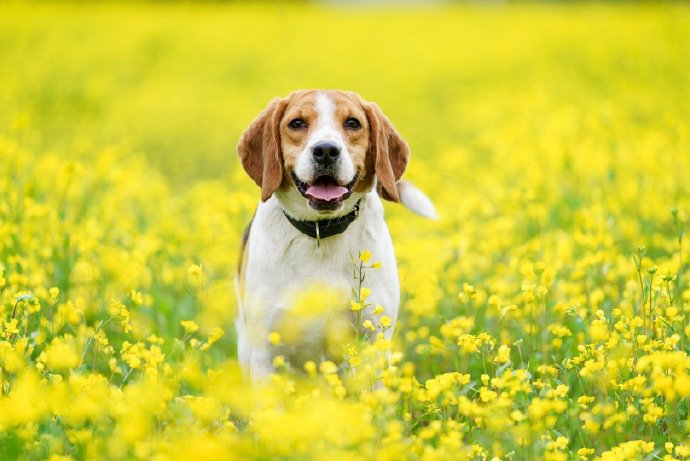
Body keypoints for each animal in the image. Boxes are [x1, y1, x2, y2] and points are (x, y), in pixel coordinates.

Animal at [234, 90, 432, 380]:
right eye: (296, 123)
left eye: (352, 123)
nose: (326, 151)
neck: (321, 232)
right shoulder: (266, 354)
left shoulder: (372, 342)